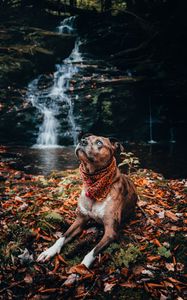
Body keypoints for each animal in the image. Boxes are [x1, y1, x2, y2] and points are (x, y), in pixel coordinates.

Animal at [37, 136, 138, 272]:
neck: (94, 183)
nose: (82, 141)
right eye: (85, 138)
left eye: (99, 142)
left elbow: (94, 250)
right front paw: (49, 251)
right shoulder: (80, 220)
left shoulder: (110, 232)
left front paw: (83, 266)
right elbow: (62, 237)